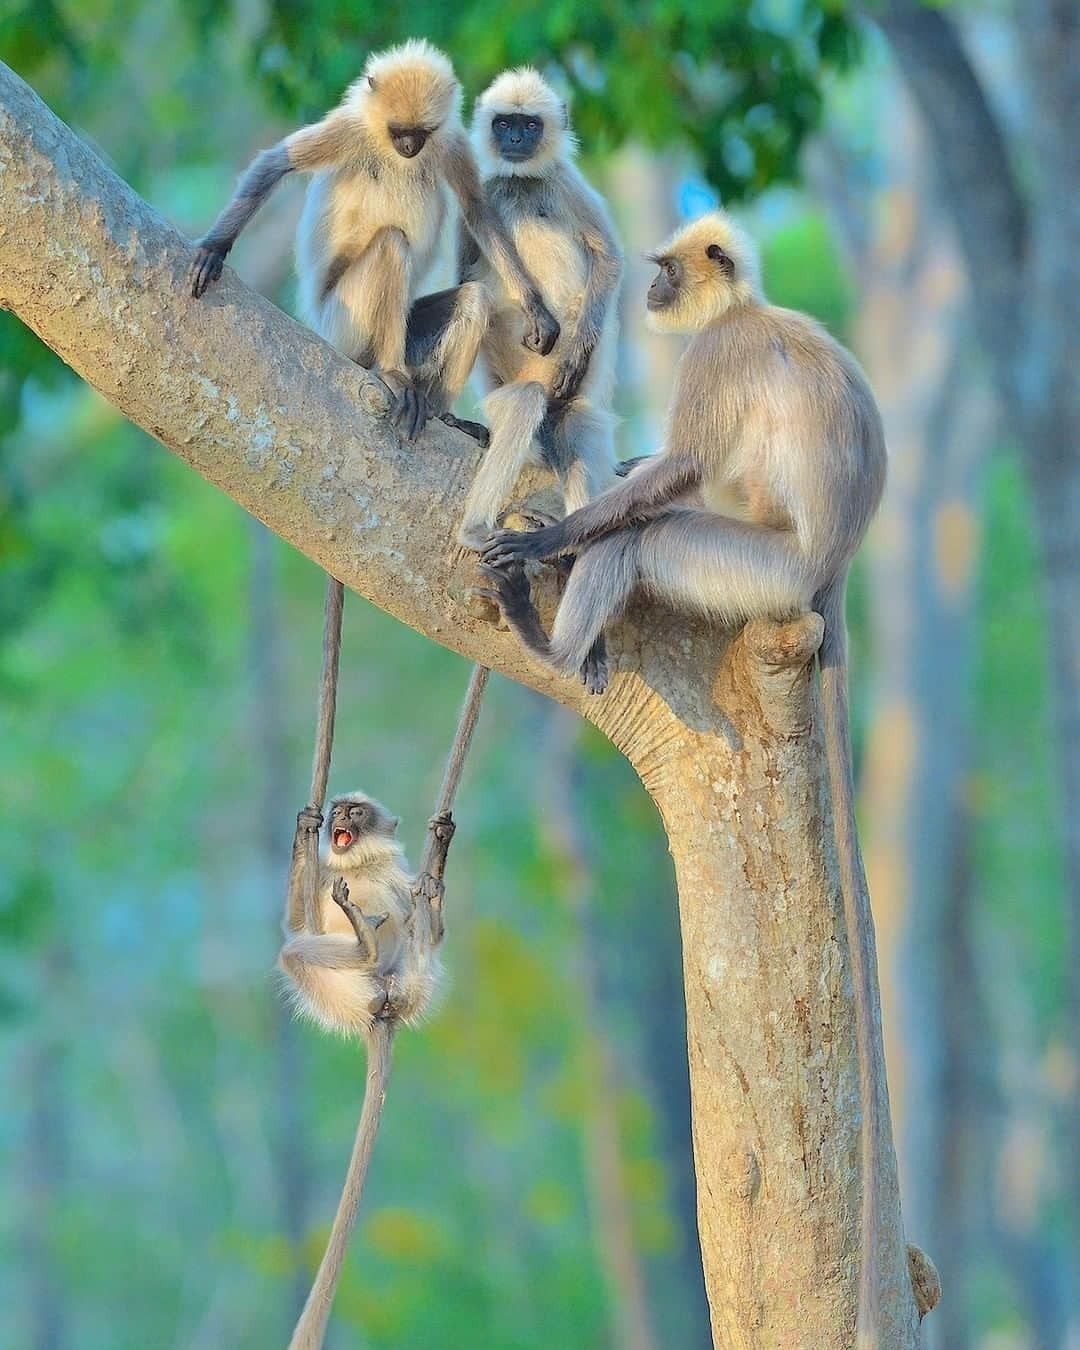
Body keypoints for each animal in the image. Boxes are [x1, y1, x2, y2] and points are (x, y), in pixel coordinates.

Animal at [186, 40, 556, 437]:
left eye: (421, 132)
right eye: (397, 130)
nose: (408, 146)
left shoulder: (451, 140)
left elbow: (477, 211)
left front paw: (536, 308)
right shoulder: (349, 127)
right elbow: (275, 164)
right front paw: (213, 248)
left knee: (475, 298)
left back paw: (441, 412)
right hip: (343, 323)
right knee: (392, 243)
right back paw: (391, 372)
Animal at [280, 788, 453, 1350]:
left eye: (356, 812)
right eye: (338, 809)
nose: (337, 817)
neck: (359, 865)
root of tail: (382, 1008)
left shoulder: (399, 877)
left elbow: (433, 929)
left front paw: (436, 866)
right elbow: (298, 923)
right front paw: (304, 828)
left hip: (410, 980)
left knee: (416, 940)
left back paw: (382, 930)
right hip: (341, 993)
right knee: (298, 952)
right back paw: (362, 943)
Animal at [456, 65, 623, 550]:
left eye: (530, 125)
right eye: (504, 124)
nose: (515, 140)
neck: (521, 183)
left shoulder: (565, 182)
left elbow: (608, 259)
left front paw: (577, 351)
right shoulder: (485, 190)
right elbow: (465, 278)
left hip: (568, 398)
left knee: (573, 425)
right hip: (508, 393)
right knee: (524, 404)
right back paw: (474, 528)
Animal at [477, 210, 891, 1350]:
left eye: (665, 271)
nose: (655, 291)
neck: (747, 309)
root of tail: (828, 577)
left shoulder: (718, 357)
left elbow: (682, 472)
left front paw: (557, 536)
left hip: (753, 572)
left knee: (656, 536)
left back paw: (554, 641)